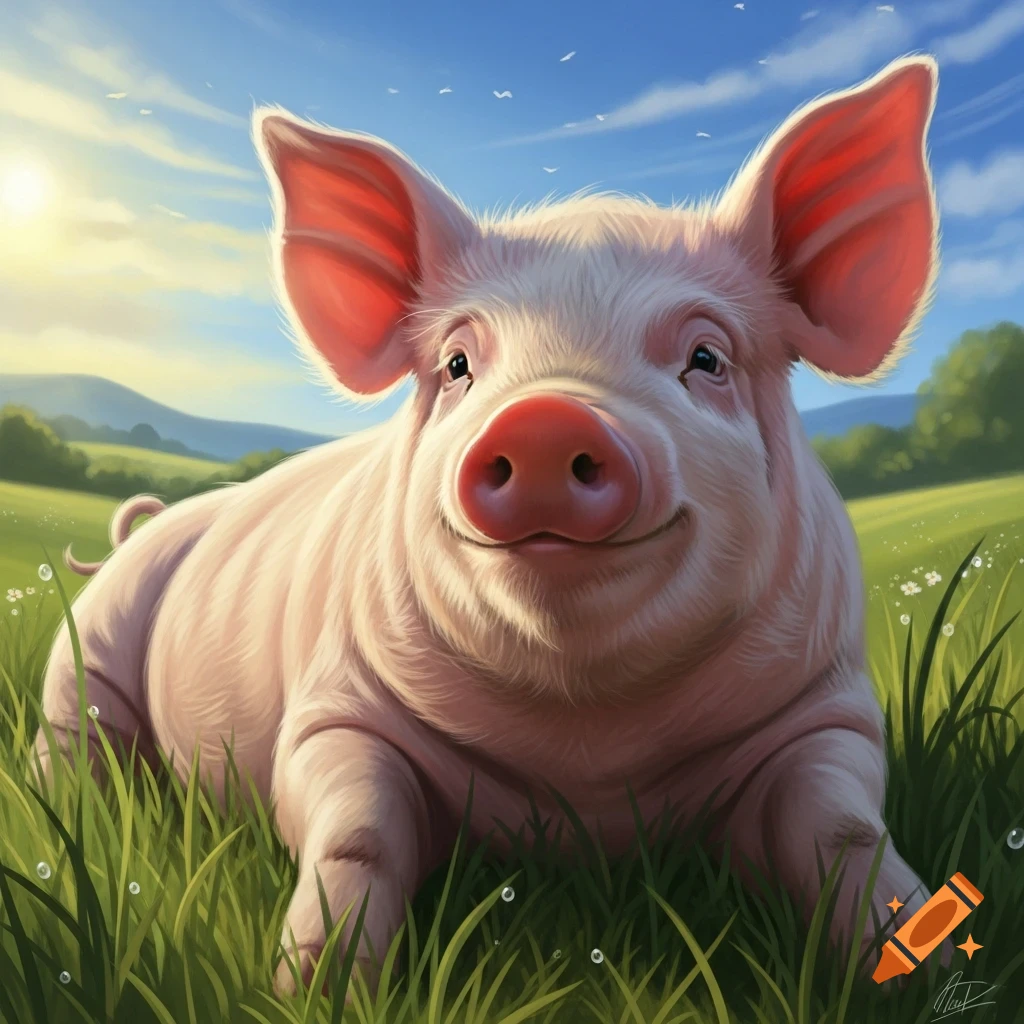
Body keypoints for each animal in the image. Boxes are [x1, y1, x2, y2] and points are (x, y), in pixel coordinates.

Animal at [33, 54, 946, 996]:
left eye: (707, 358)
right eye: (458, 363)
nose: (545, 419)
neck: (588, 751)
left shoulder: (826, 705)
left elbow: (844, 829)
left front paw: (923, 961)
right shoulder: (333, 706)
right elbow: (354, 833)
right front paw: (311, 988)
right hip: (86, 656)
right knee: (73, 748)